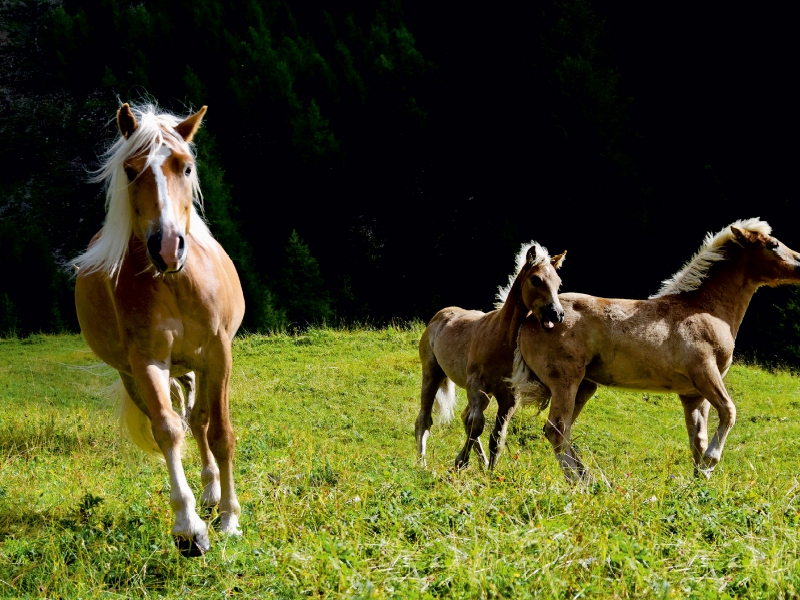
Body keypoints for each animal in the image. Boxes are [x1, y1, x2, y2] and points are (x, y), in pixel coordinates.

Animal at [74, 102, 244, 552]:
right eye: (130, 170)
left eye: (186, 167)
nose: (166, 248)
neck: (176, 283)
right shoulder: (147, 361)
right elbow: (167, 429)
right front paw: (188, 528)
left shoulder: (218, 354)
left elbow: (220, 433)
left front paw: (229, 518)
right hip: (140, 373)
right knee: (181, 420)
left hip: (198, 366)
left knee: (200, 420)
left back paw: (214, 493)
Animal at [416, 241, 564, 472]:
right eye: (536, 279)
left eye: (558, 284)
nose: (557, 314)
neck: (500, 340)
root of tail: (439, 316)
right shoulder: (477, 386)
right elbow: (476, 425)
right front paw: (460, 462)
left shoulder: (509, 397)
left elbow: (497, 436)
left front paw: (490, 471)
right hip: (432, 373)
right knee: (425, 418)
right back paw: (421, 462)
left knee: (464, 417)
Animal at [510, 218, 800, 480]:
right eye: (773, 244)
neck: (705, 309)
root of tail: (534, 318)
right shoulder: (705, 373)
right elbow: (729, 412)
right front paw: (711, 462)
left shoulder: (693, 394)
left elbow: (698, 439)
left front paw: (699, 481)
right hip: (565, 382)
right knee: (556, 430)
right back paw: (582, 482)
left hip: (584, 386)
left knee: (564, 430)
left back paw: (588, 478)